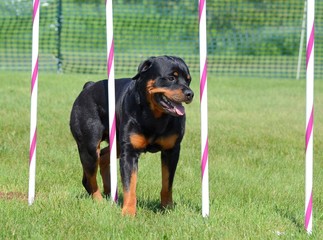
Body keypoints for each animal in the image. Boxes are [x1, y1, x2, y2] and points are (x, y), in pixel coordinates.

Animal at [69, 55, 194, 216]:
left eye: (188, 80)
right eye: (171, 78)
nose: (190, 93)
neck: (154, 116)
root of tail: (88, 87)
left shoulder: (172, 151)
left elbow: (167, 183)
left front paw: (167, 208)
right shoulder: (129, 152)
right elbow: (130, 185)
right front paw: (128, 212)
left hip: (116, 143)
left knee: (103, 156)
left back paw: (109, 192)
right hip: (89, 147)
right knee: (89, 177)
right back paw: (100, 201)